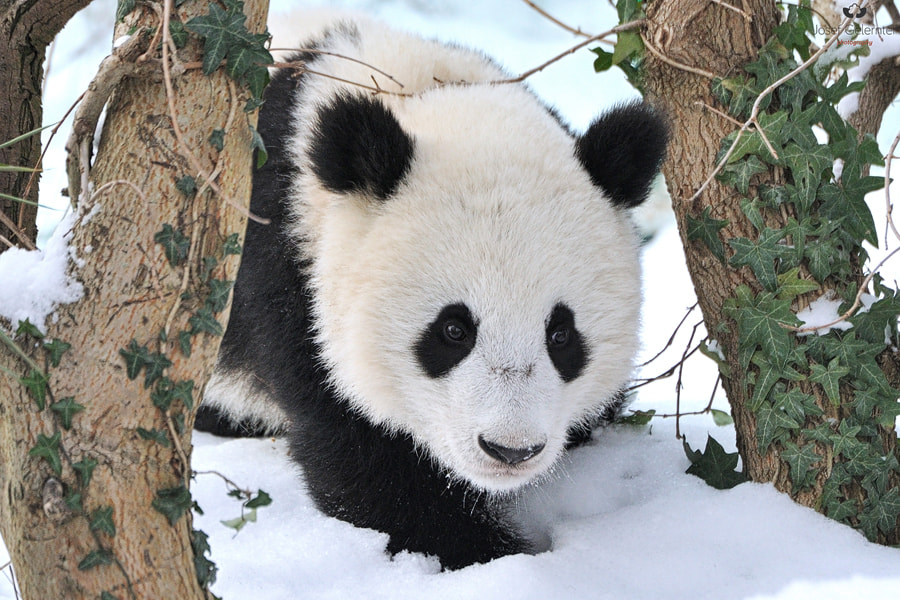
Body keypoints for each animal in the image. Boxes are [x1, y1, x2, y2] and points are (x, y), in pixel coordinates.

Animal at [197, 16, 668, 570]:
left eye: (561, 335)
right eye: (453, 330)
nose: (510, 450)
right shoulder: (286, 274)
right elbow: (372, 468)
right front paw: (490, 555)